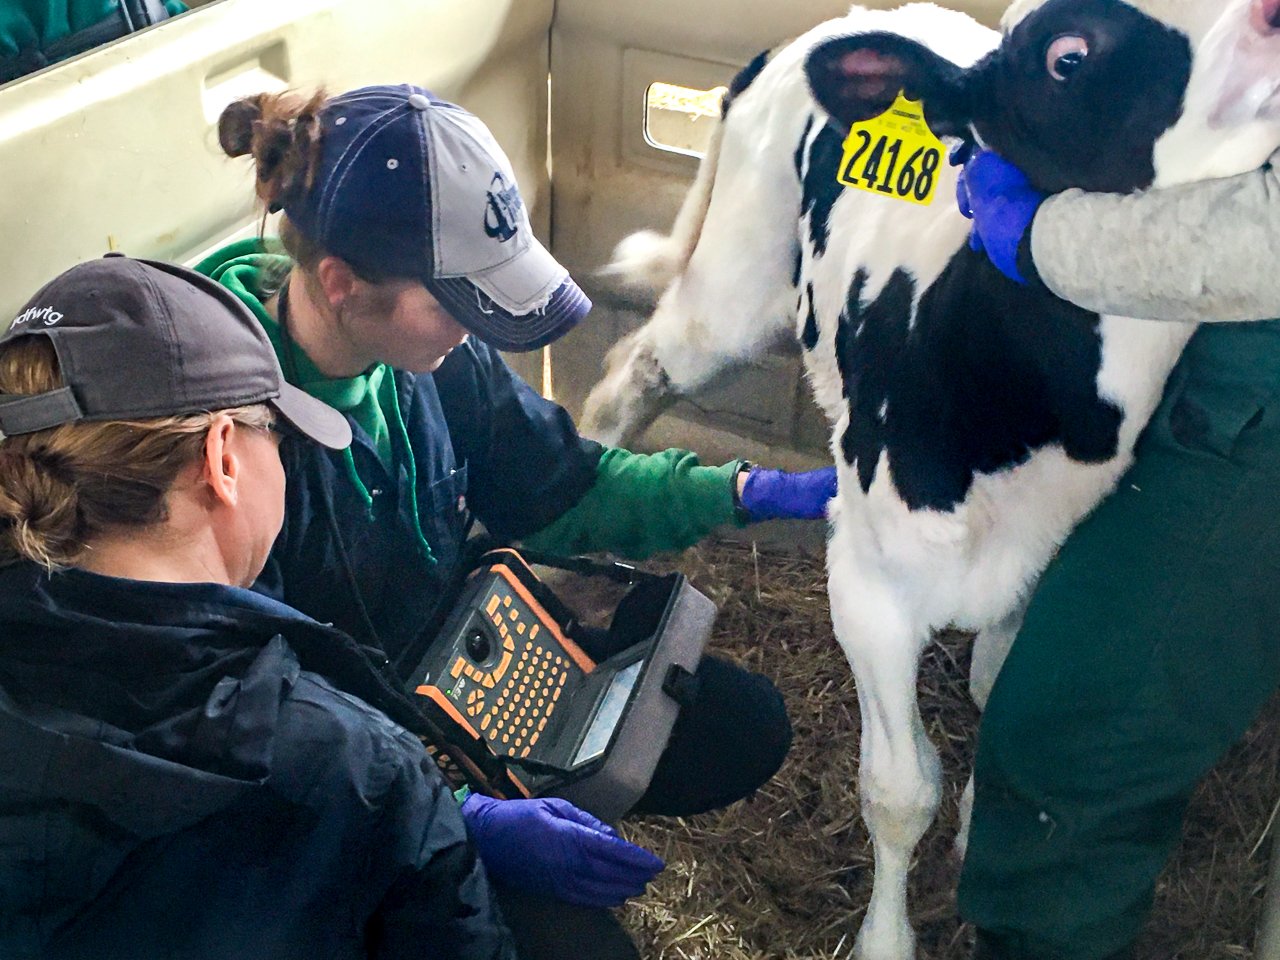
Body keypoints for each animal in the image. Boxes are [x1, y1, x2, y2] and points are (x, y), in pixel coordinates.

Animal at [583, 1, 1280, 960]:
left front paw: (977, 822)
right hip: (732, 284)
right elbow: (901, 790)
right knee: (633, 373)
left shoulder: (1044, 576)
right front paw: (887, 938)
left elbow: (994, 699)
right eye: (1067, 57)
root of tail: (841, 25)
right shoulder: (868, 588)